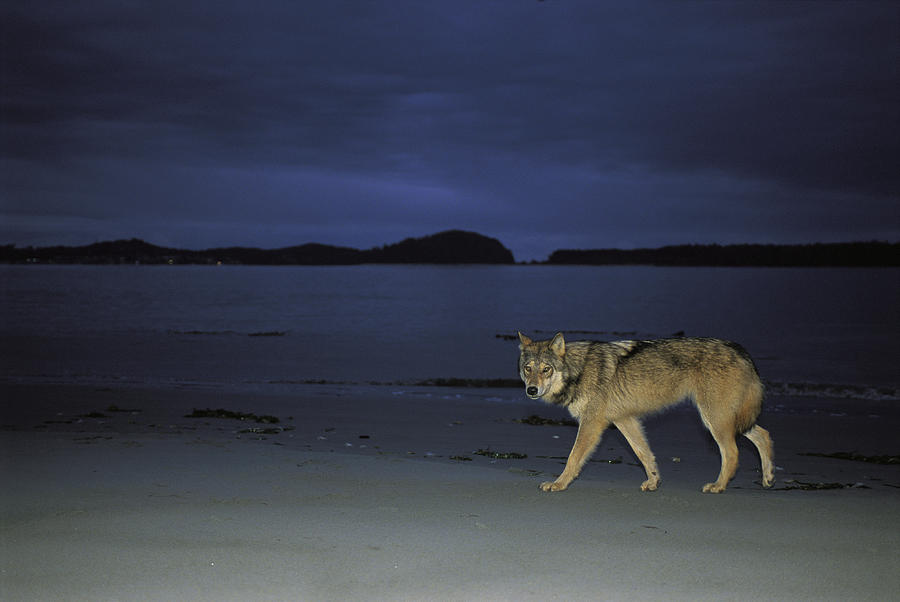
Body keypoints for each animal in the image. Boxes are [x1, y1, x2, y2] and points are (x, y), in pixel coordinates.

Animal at [516, 330, 776, 490]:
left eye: (546, 369)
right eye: (528, 368)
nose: (531, 390)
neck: (577, 371)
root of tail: (740, 350)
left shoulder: (591, 424)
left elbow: (573, 458)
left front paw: (558, 484)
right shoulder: (625, 420)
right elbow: (644, 454)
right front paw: (653, 482)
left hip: (714, 419)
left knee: (732, 452)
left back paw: (718, 486)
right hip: (731, 420)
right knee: (764, 435)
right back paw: (768, 477)